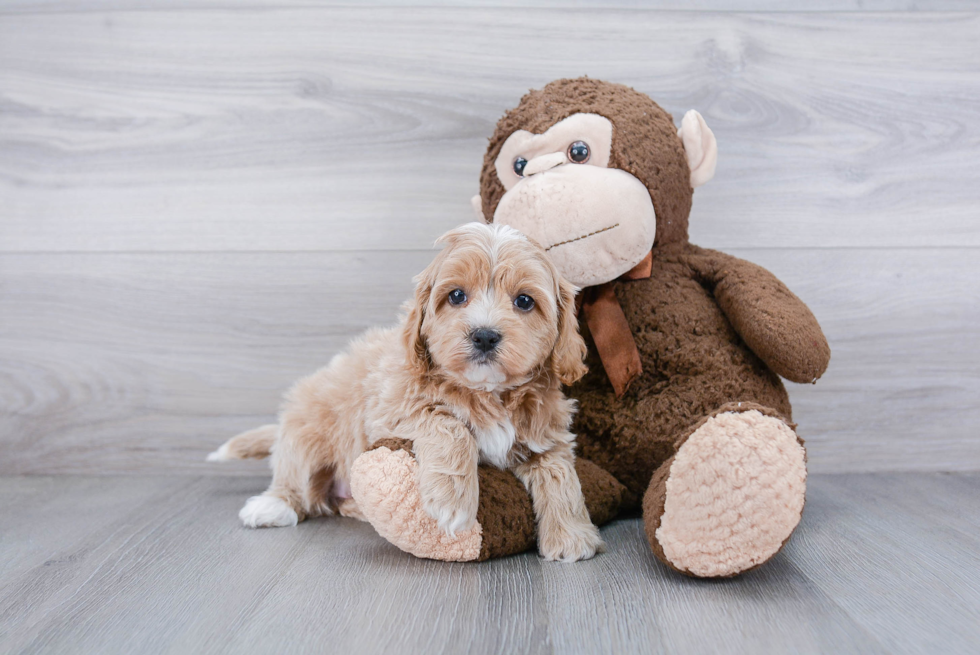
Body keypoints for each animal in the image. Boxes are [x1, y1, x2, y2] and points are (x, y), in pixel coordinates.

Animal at [211, 223, 600, 560]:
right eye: (456, 295)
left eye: (524, 301)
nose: (484, 335)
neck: (488, 392)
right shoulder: (390, 410)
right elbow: (448, 422)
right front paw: (452, 502)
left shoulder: (546, 435)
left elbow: (559, 473)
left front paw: (571, 536)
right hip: (309, 432)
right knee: (296, 478)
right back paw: (273, 504)